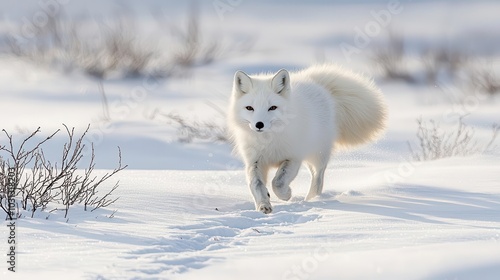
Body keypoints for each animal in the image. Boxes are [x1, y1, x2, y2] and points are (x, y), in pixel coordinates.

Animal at [227, 64, 386, 214]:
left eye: (272, 107)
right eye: (249, 108)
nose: (259, 124)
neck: (269, 141)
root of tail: (316, 83)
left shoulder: (293, 158)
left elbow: (278, 182)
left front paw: (286, 195)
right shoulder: (255, 161)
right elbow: (256, 184)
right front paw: (263, 205)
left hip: (318, 154)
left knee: (318, 177)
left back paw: (312, 199)